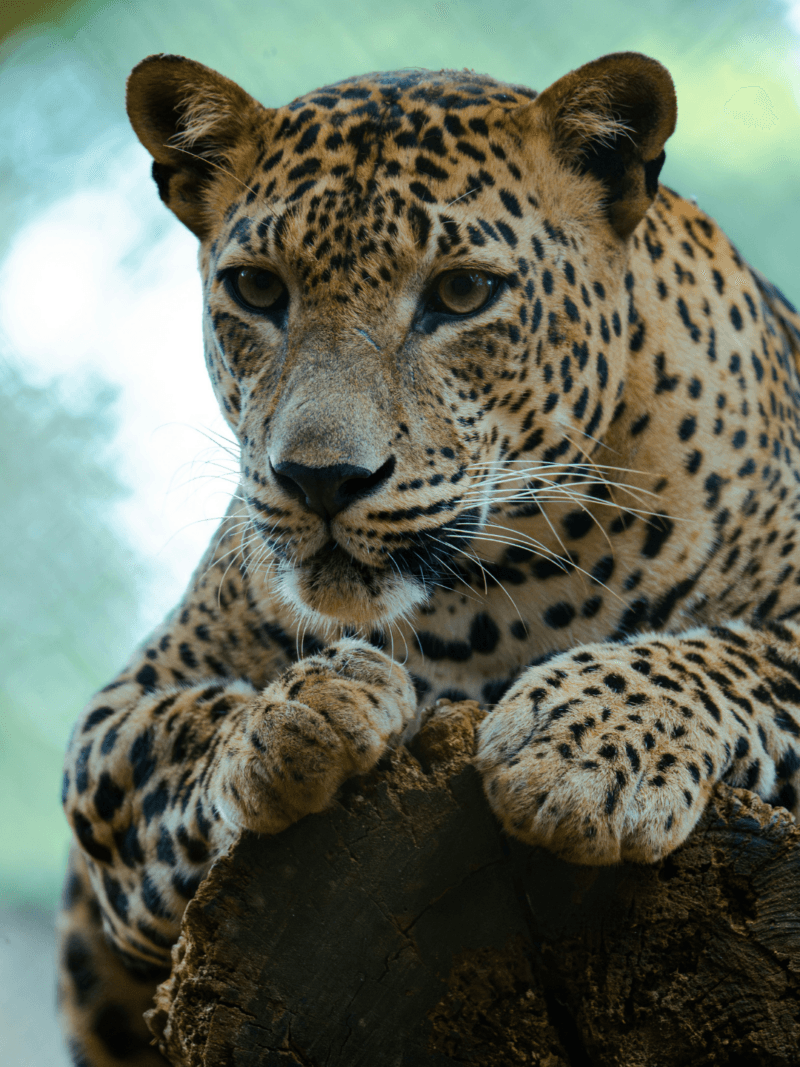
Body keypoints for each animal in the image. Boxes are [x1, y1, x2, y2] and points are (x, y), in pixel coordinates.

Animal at [57, 50, 800, 1066]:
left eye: (461, 295)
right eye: (256, 290)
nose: (321, 478)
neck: (490, 601)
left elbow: (735, 651)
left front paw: (584, 749)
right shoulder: (116, 718)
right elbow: (171, 732)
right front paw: (296, 713)